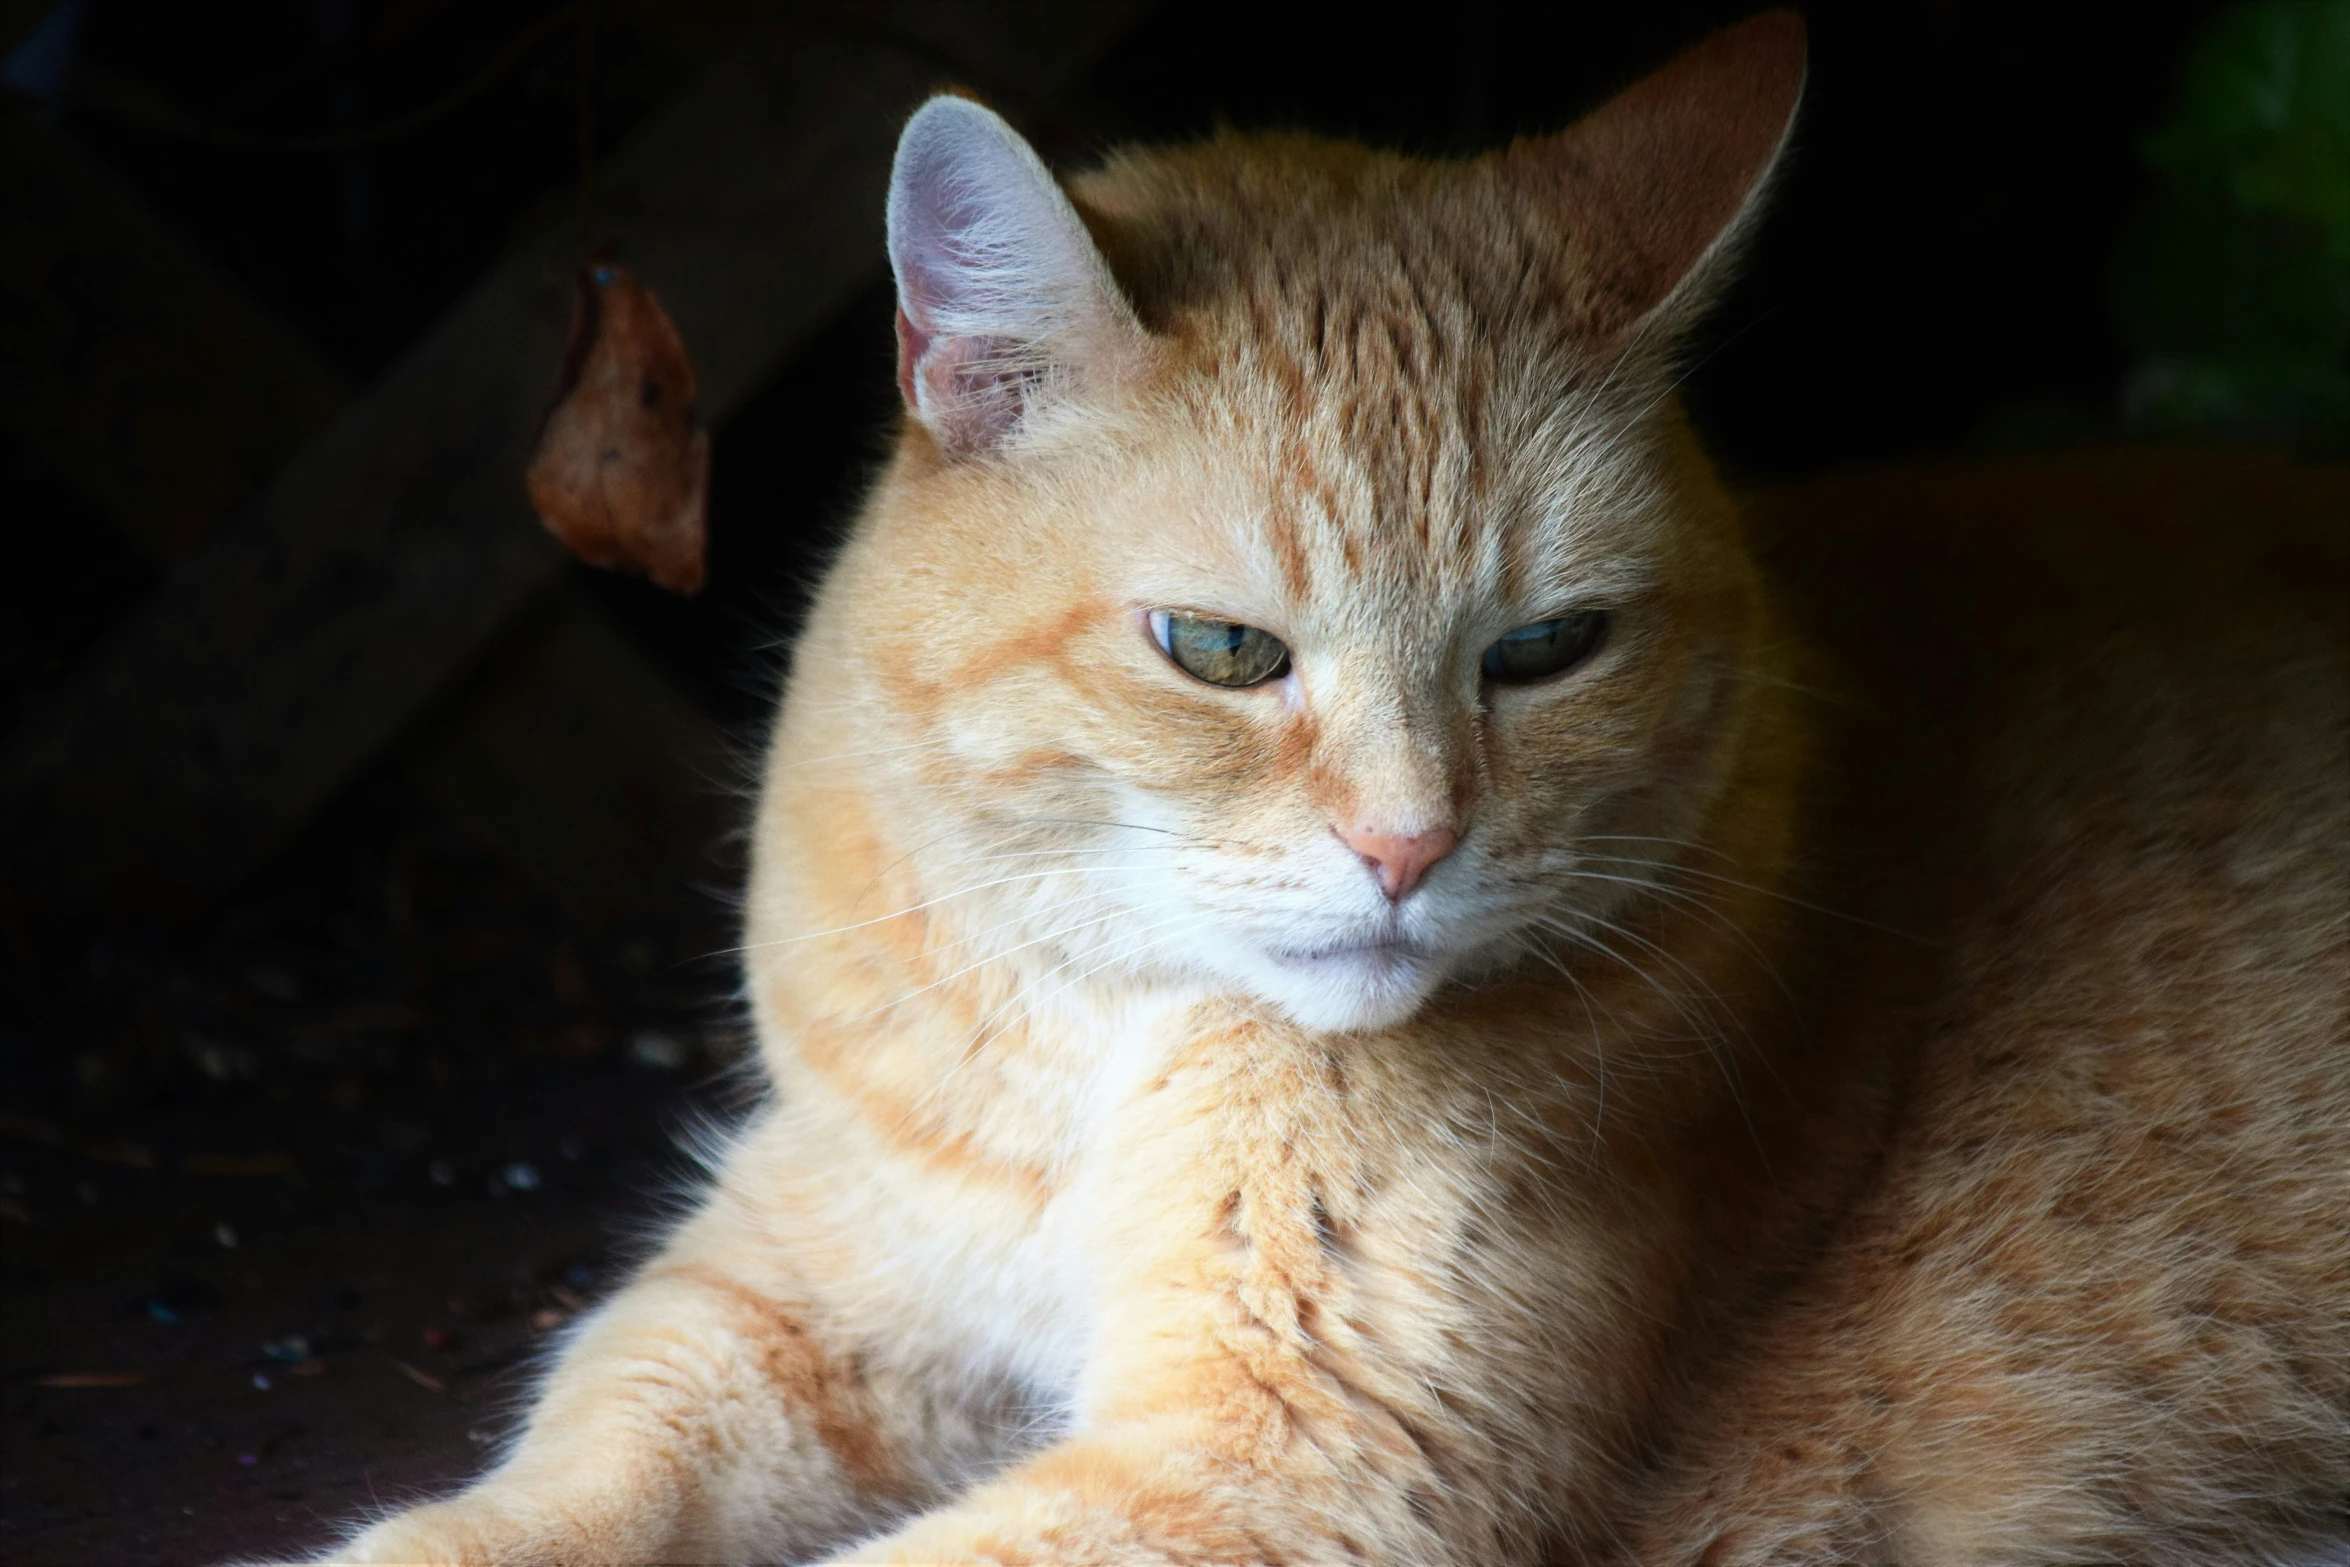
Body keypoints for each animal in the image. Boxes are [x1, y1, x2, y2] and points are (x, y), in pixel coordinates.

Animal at [303, 15, 2340, 1567]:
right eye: (1217, 650)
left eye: (1548, 648)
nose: (1407, 844)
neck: (1098, 1052)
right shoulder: (792, 1286)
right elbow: (588, 1444)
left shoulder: (1291, 1460)